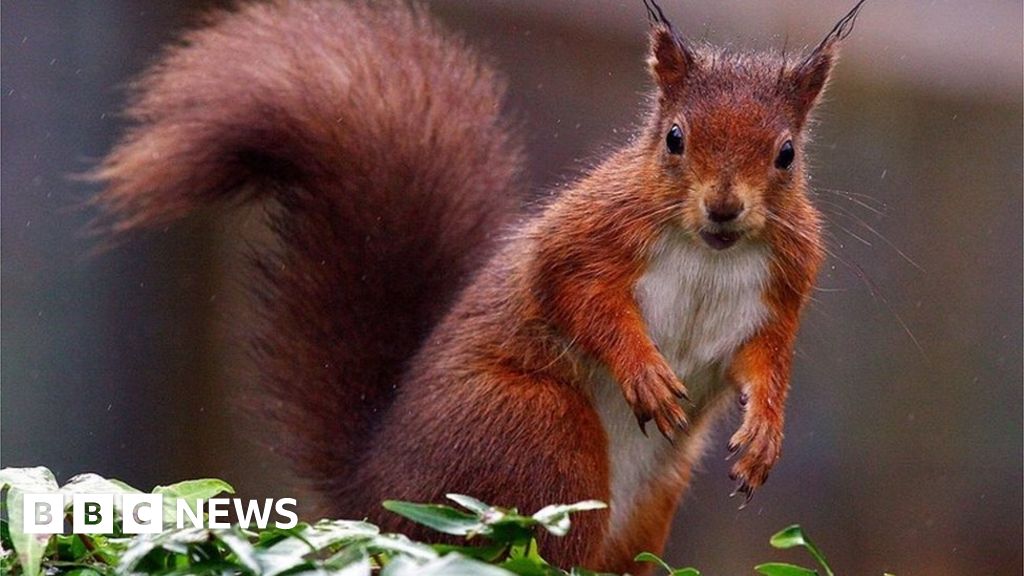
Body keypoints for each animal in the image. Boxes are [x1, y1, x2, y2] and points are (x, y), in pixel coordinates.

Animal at [92, 0, 863, 572]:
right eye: (674, 138)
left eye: (787, 154)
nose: (724, 208)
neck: (710, 253)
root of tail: (373, 499)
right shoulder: (585, 238)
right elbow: (578, 296)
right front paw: (644, 372)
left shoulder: (784, 288)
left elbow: (766, 361)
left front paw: (763, 433)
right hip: (538, 438)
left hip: (645, 508)